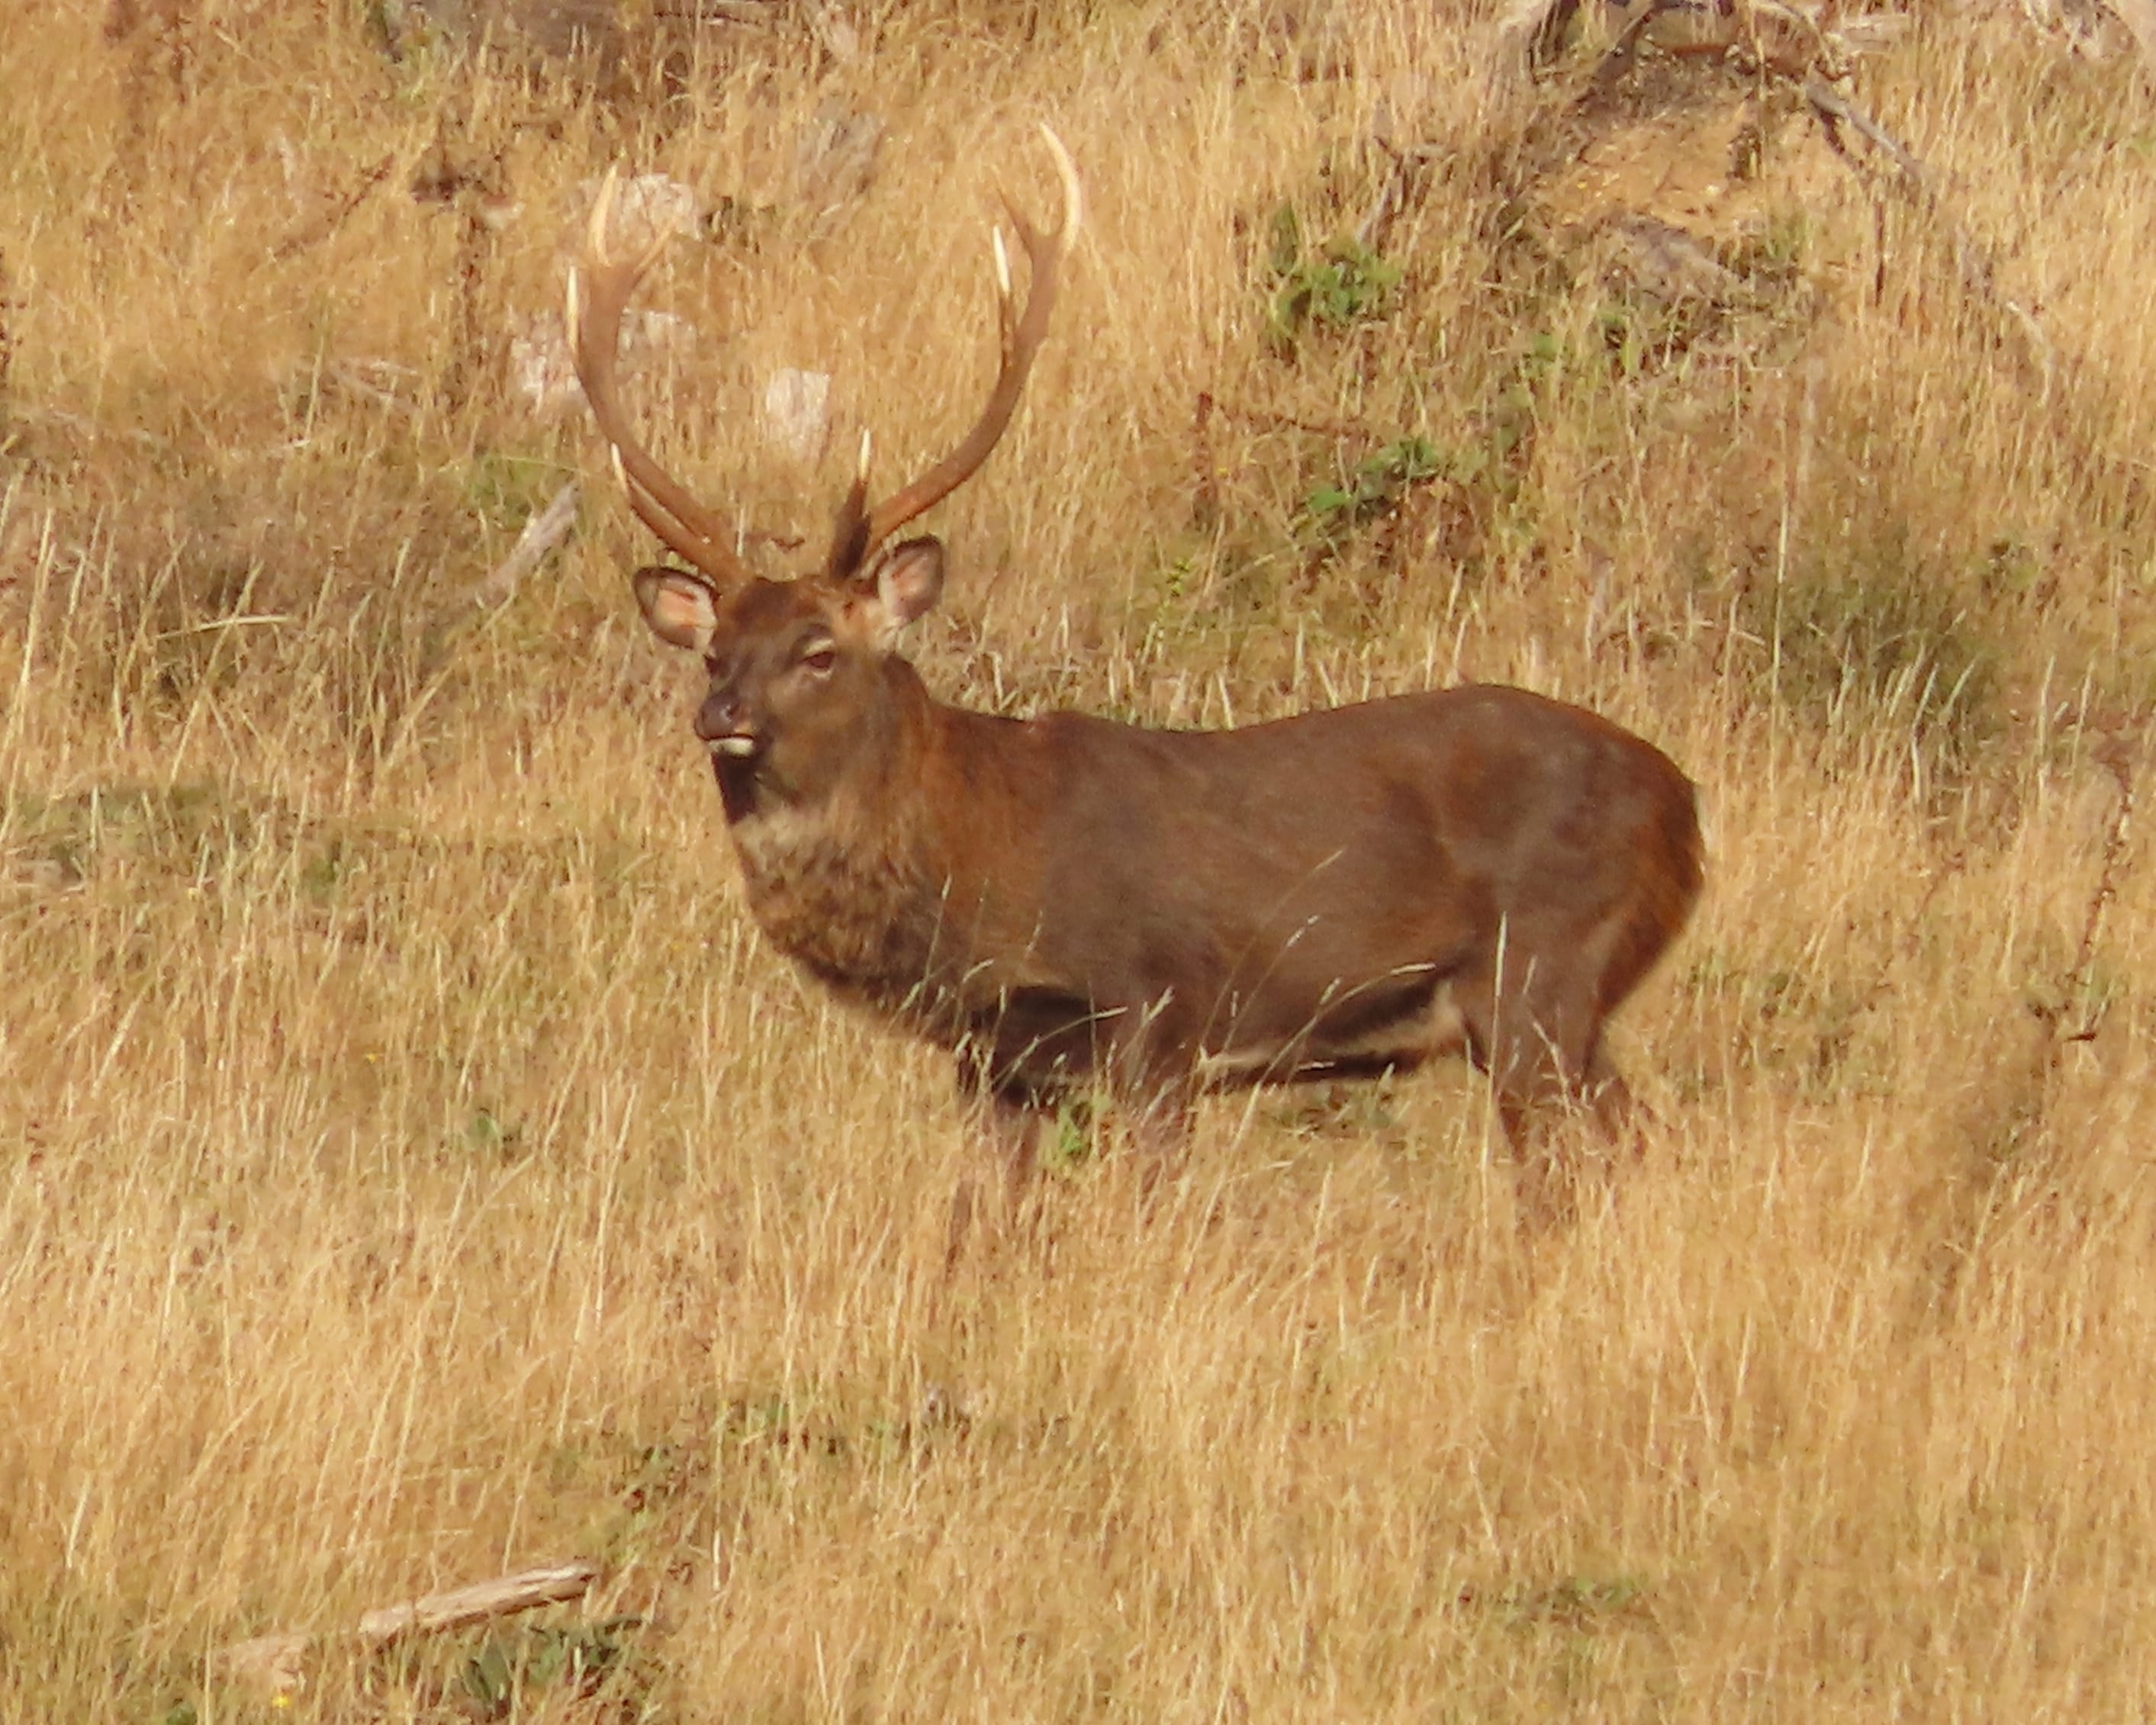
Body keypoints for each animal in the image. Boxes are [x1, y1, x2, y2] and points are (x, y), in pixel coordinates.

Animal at [569, 128, 1698, 1216]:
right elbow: (979, 1221)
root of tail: (1687, 811)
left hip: (1544, 965)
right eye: (716, 647)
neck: (979, 855)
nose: (719, 713)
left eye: (819, 649)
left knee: (1580, 1164)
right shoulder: (997, 1055)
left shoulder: (1160, 1016)